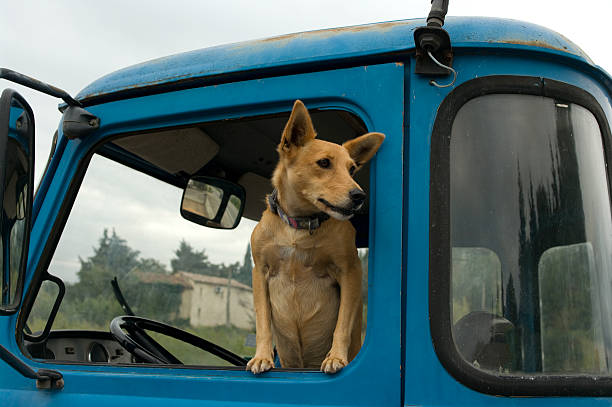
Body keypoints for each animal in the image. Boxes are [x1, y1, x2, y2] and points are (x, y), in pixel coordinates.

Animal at [247, 100, 382, 374]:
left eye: (352, 169)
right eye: (324, 163)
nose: (360, 195)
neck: (299, 226)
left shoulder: (350, 271)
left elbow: (342, 323)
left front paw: (336, 357)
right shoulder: (260, 272)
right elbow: (263, 321)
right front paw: (262, 356)